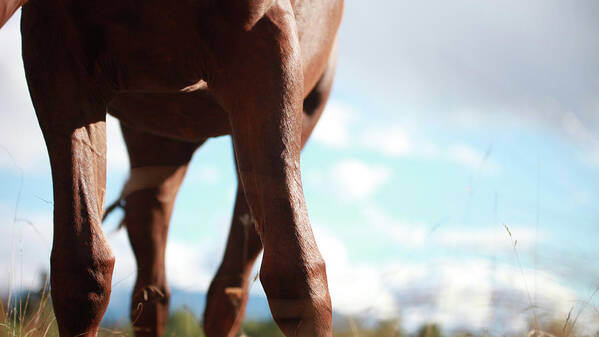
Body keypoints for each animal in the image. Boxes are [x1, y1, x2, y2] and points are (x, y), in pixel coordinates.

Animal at [1, 0, 342, 336]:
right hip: (157, 144)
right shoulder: (55, 51)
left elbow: (298, 277)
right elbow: (81, 268)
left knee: (229, 290)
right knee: (153, 293)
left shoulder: (265, 36)